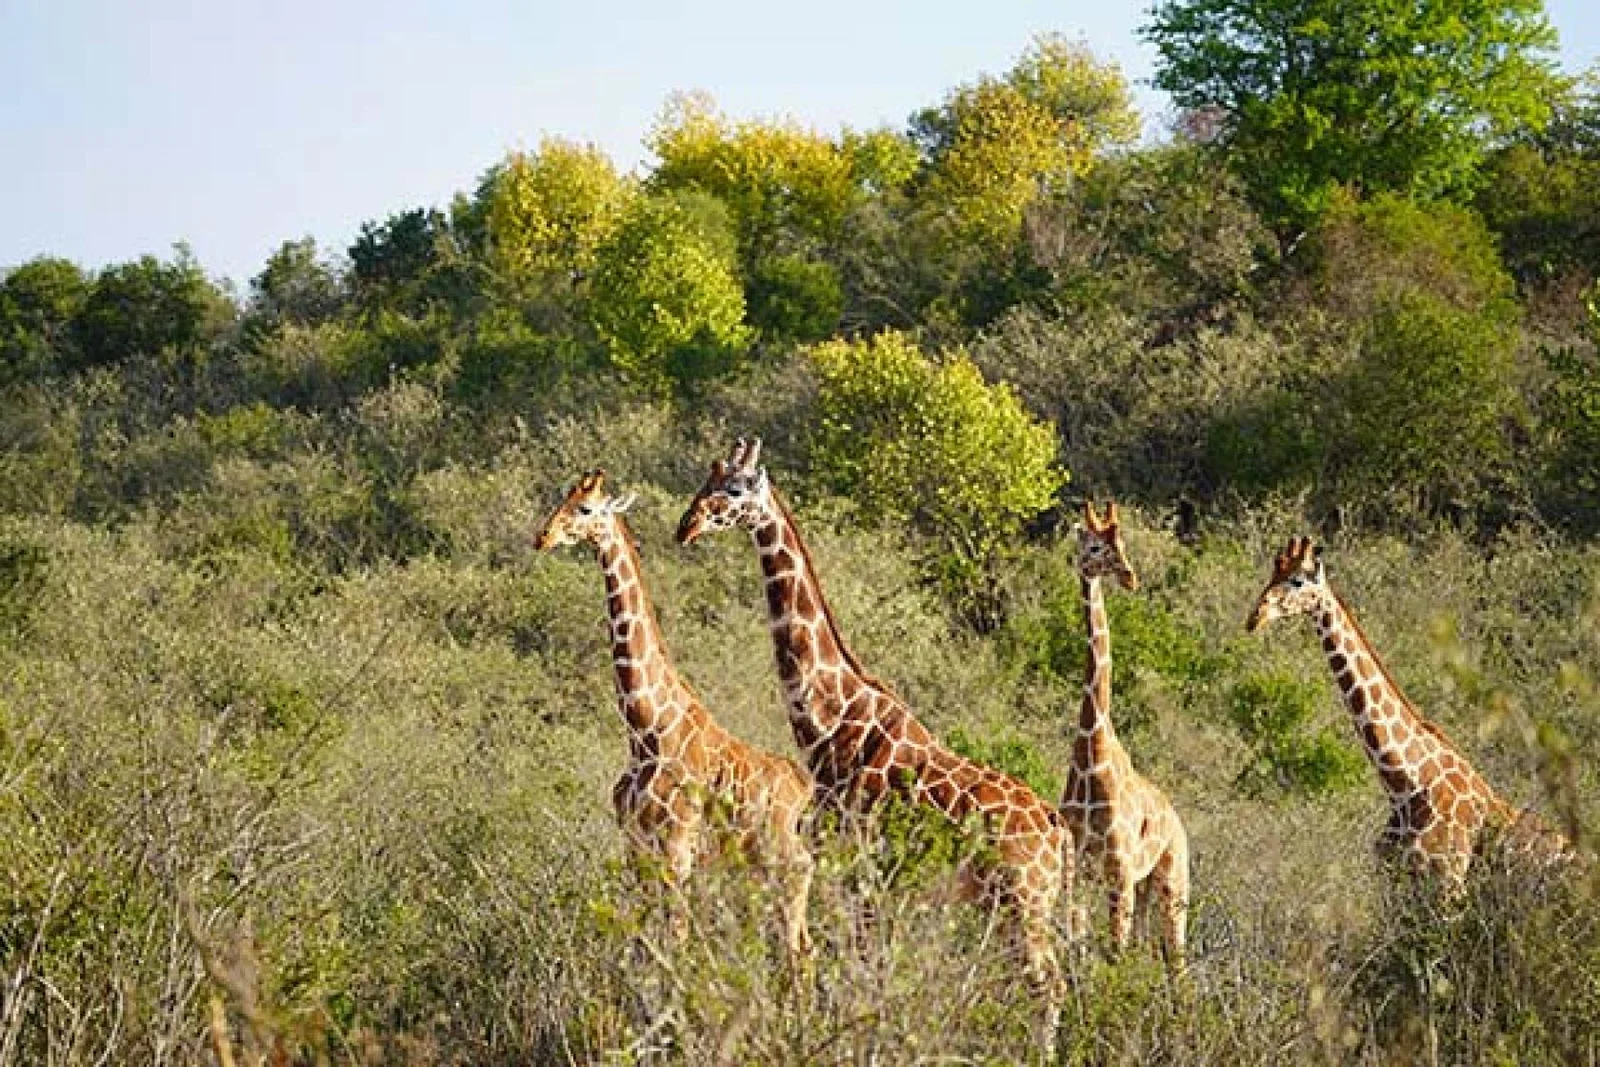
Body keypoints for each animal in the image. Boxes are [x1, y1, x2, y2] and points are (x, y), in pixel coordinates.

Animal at [534, 469, 814, 956]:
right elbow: (640, 942)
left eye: (585, 508)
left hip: (783, 862)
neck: (645, 731)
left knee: (796, 943)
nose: (543, 536)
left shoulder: (677, 852)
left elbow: (676, 942)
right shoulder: (635, 847)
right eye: (561, 500)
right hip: (755, 865)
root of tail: (803, 786)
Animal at [676, 438, 1070, 1047]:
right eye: (705, 479)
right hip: (1010, 905)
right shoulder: (861, 877)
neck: (828, 725)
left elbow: (860, 973)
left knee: (1047, 987)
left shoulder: (858, 867)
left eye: (736, 488)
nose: (686, 526)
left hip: (1024, 902)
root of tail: (1057, 828)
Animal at [1060, 500, 1189, 964]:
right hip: (1145, 888)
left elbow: (1113, 955)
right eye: (1095, 546)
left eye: (1123, 543)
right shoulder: (1078, 870)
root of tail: (1180, 825)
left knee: (1177, 961)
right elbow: (1077, 948)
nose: (1130, 576)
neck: (1091, 753)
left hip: (1171, 884)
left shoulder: (1119, 870)